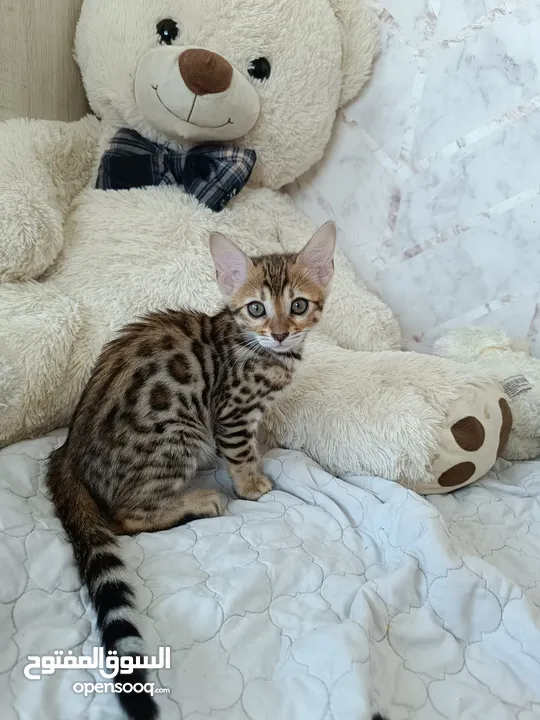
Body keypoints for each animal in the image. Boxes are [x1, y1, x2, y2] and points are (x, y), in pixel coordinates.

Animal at [44, 222, 336, 720]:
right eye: (256, 308)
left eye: (298, 305)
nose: (280, 334)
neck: (256, 348)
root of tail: (68, 451)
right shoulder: (230, 413)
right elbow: (240, 455)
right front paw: (253, 485)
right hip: (179, 434)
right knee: (125, 518)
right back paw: (198, 502)